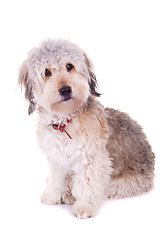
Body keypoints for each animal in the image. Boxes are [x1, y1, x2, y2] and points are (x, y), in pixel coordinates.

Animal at [18, 39, 154, 219]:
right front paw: (54, 195)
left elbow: (87, 185)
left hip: (126, 183)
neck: (65, 122)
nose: (65, 89)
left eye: (69, 66)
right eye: (46, 72)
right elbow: (57, 178)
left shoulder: (91, 159)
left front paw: (84, 207)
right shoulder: (56, 158)